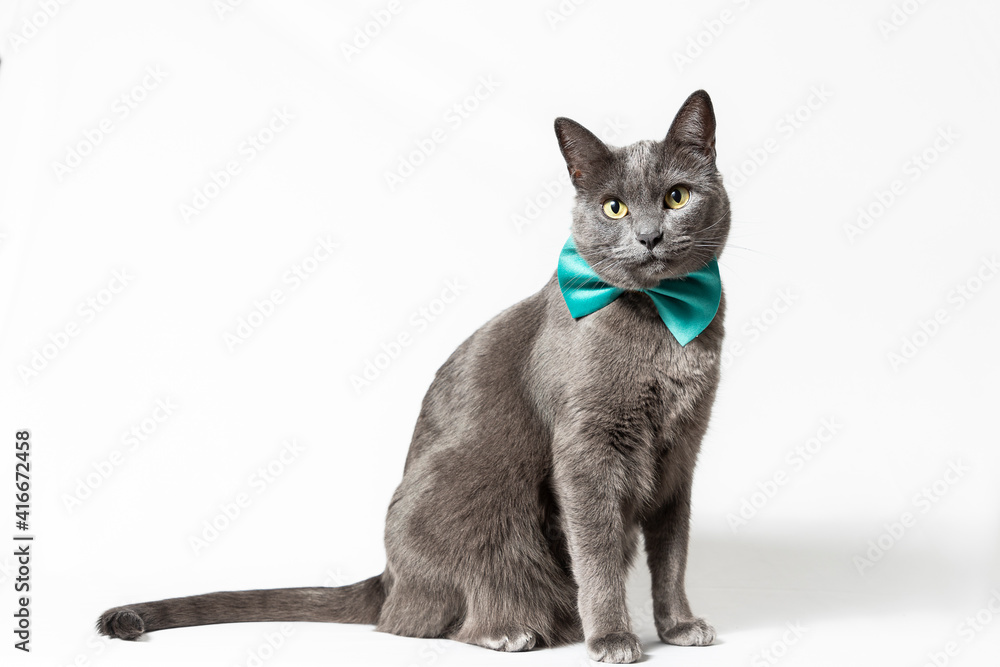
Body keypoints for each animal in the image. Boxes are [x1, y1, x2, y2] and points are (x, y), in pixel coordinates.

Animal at [97, 90, 732, 664]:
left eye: (676, 197)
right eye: (614, 207)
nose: (649, 236)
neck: (661, 318)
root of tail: (386, 577)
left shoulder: (682, 452)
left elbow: (672, 551)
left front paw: (679, 626)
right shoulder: (587, 450)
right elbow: (596, 552)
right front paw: (612, 639)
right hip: (478, 501)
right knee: (432, 616)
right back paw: (509, 631)